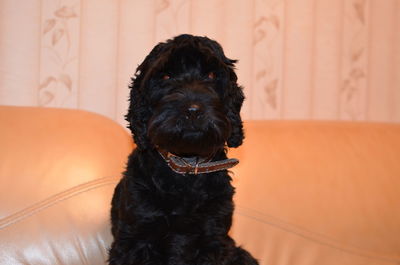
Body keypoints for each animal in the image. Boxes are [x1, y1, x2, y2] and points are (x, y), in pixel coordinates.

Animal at [108, 34, 258, 264]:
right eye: (166, 76)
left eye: (212, 74)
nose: (193, 111)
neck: (186, 166)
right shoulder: (135, 238)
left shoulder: (213, 238)